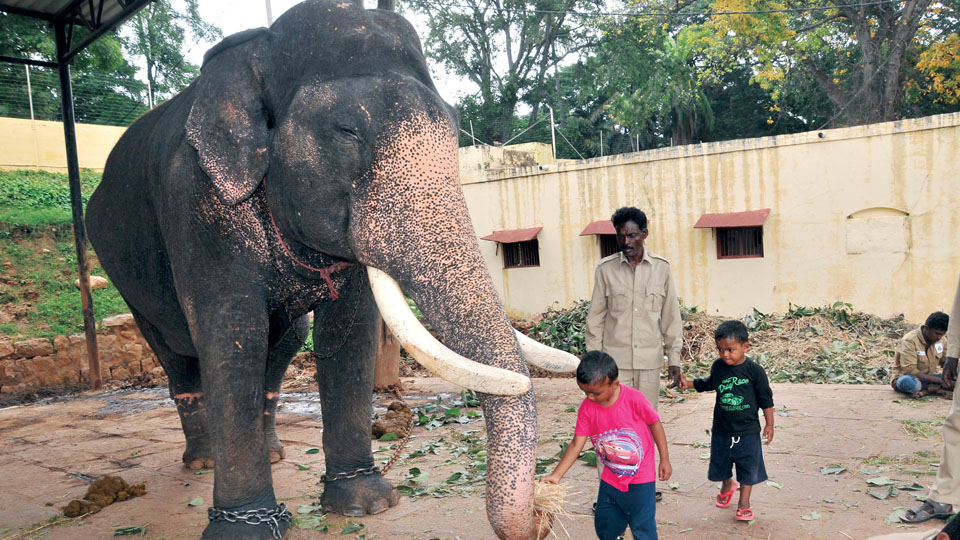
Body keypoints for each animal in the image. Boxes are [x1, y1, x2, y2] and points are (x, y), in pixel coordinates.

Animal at [84, 1, 568, 540]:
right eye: (347, 131)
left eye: (455, 124)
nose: (544, 511)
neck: (259, 50)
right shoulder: (198, 206)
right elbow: (232, 333)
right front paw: (245, 531)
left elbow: (349, 331)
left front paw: (366, 504)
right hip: (122, 272)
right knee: (175, 354)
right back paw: (202, 461)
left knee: (285, 340)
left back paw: (274, 453)